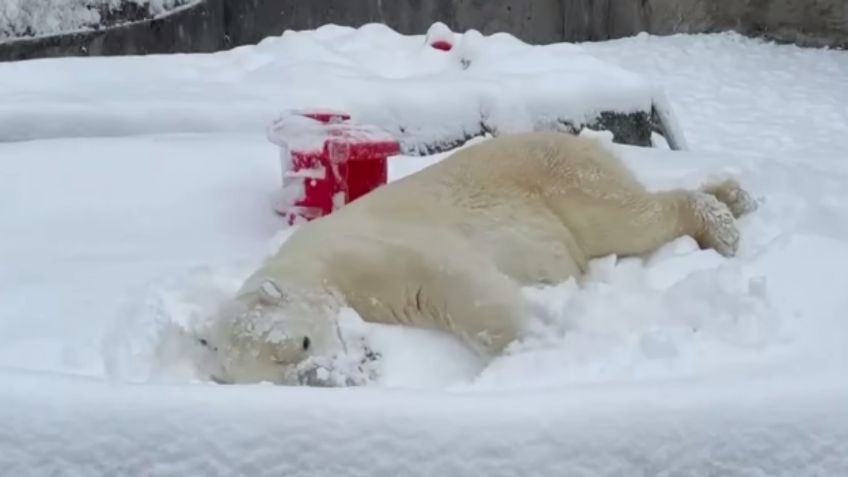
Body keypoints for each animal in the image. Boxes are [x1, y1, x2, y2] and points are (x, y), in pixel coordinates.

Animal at [197, 130, 756, 384]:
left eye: (304, 342)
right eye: (279, 375)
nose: (325, 376)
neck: (311, 263)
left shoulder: (370, 252)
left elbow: (455, 282)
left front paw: (526, 350)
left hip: (557, 178)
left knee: (625, 220)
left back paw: (722, 223)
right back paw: (732, 195)